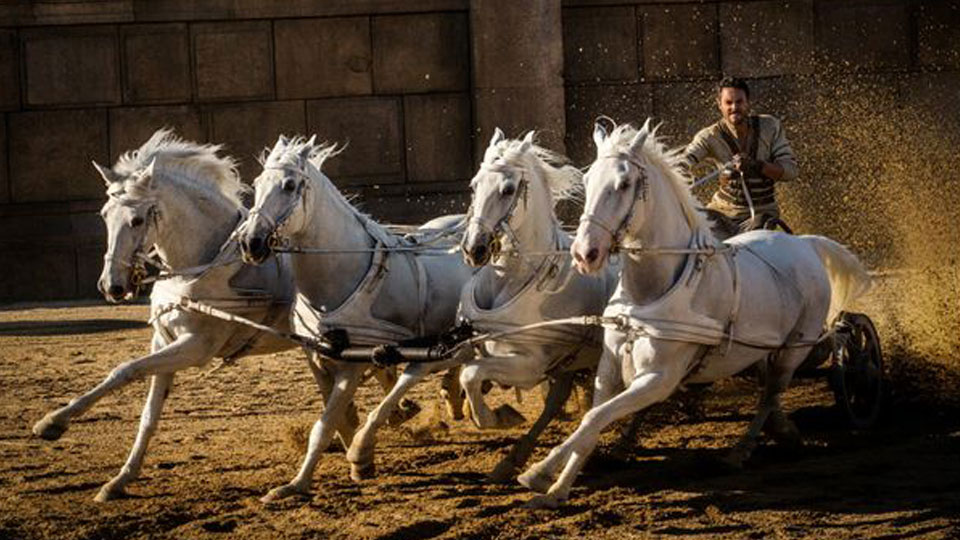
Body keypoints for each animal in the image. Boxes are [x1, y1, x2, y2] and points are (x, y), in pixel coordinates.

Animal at [31, 130, 398, 502]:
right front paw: (120, 479)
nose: (112, 286)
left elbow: (125, 370)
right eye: (105, 215)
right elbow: (148, 414)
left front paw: (53, 422)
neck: (198, 267)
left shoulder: (196, 347)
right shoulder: (162, 340)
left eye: (136, 220)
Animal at [238, 135, 474, 502]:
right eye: (258, 183)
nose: (250, 242)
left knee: (429, 365)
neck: (341, 273)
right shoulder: (317, 356)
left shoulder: (353, 360)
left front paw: (305, 481)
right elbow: (337, 419)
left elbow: (324, 425)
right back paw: (447, 398)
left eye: (290, 185)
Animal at [460, 130, 620, 480]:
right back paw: (511, 460)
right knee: (556, 400)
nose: (473, 248)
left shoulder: (531, 365)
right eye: (474, 184)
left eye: (508, 189)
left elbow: (470, 374)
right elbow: (468, 372)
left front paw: (495, 417)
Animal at [516, 120, 872, 508]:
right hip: (761, 350)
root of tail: (805, 243)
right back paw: (780, 433)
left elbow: (596, 416)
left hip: (795, 348)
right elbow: (591, 422)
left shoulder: (660, 378)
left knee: (771, 395)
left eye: (624, 184)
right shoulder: (608, 370)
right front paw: (555, 488)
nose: (584, 253)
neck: (648, 294)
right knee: (767, 391)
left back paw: (741, 451)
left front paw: (537, 471)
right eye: (589, 179)